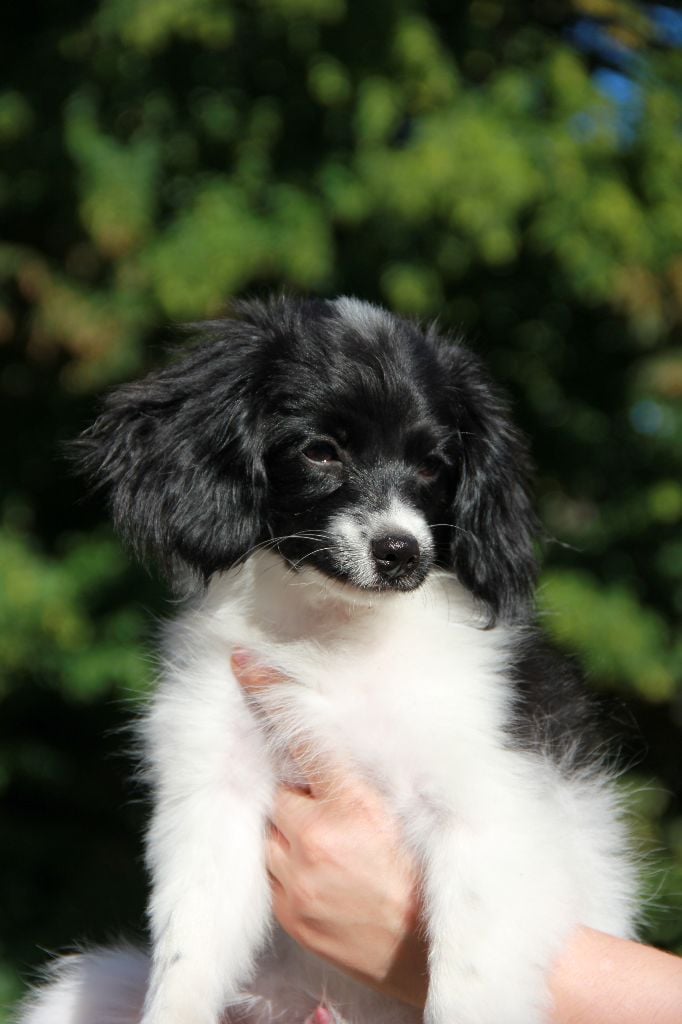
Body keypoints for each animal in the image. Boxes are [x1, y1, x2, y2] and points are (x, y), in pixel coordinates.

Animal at [19, 296, 638, 1024]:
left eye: (433, 466)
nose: (401, 553)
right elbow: (186, 956)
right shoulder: (212, 796)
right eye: (320, 451)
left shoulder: (487, 809)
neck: (338, 635)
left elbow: (465, 981)